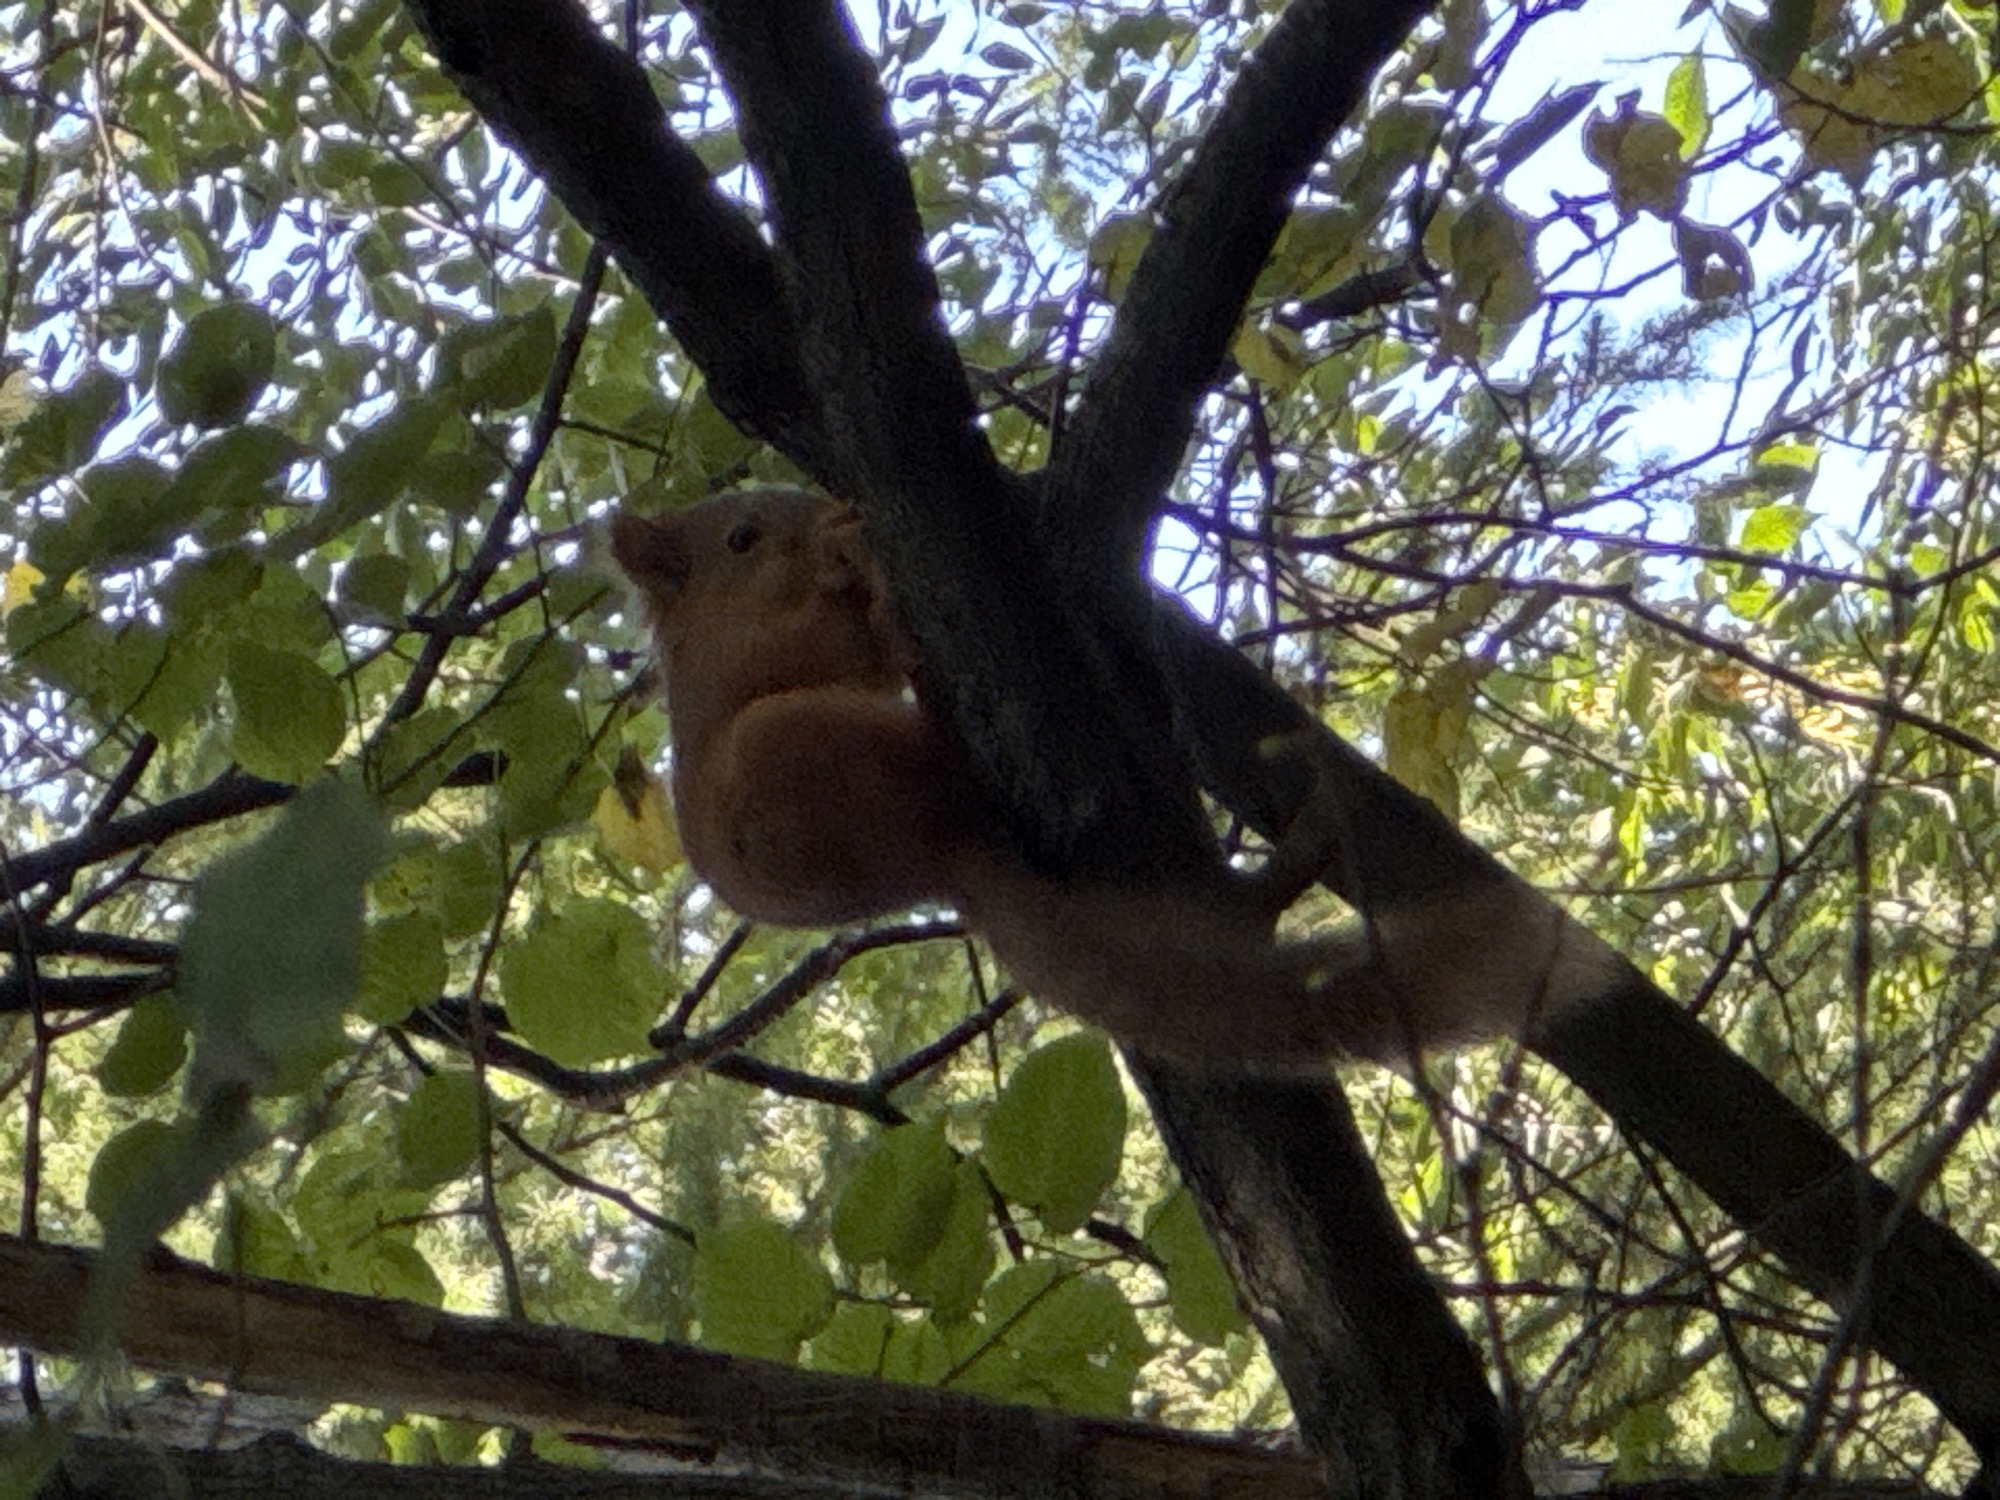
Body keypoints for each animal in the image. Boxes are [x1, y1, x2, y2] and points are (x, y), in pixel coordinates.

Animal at [610, 487, 1619, 1068]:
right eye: (741, 537)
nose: (829, 510)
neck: (703, 626)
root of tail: (948, 861)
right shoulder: (740, 665)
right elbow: (815, 646)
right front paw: (849, 558)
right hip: (805, 746)